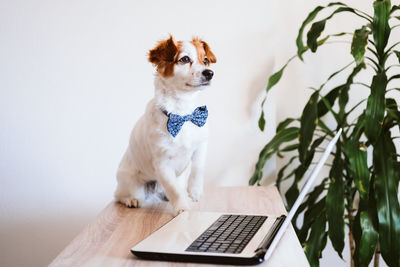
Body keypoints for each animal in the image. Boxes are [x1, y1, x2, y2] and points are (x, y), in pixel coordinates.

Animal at [114, 35, 217, 216]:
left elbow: (198, 168)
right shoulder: (162, 164)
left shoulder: (201, 145)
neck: (182, 115)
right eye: (185, 59)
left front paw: (194, 191)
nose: (209, 73)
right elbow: (174, 189)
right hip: (131, 184)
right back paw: (130, 200)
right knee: (119, 195)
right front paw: (182, 208)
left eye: (205, 60)